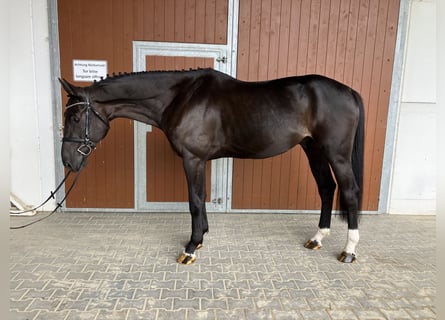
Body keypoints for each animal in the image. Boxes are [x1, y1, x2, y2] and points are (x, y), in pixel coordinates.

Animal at [59, 69, 364, 264]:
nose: (67, 161)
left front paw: (191, 248)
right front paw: (202, 237)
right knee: (327, 188)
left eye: (75, 117)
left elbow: (194, 200)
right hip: (313, 149)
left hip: (336, 153)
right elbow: (201, 198)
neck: (180, 97)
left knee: (349, 192)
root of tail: (349, 91)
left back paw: (349, 250)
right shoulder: (199, 160)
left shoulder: (192, 158)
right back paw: (318, 238)